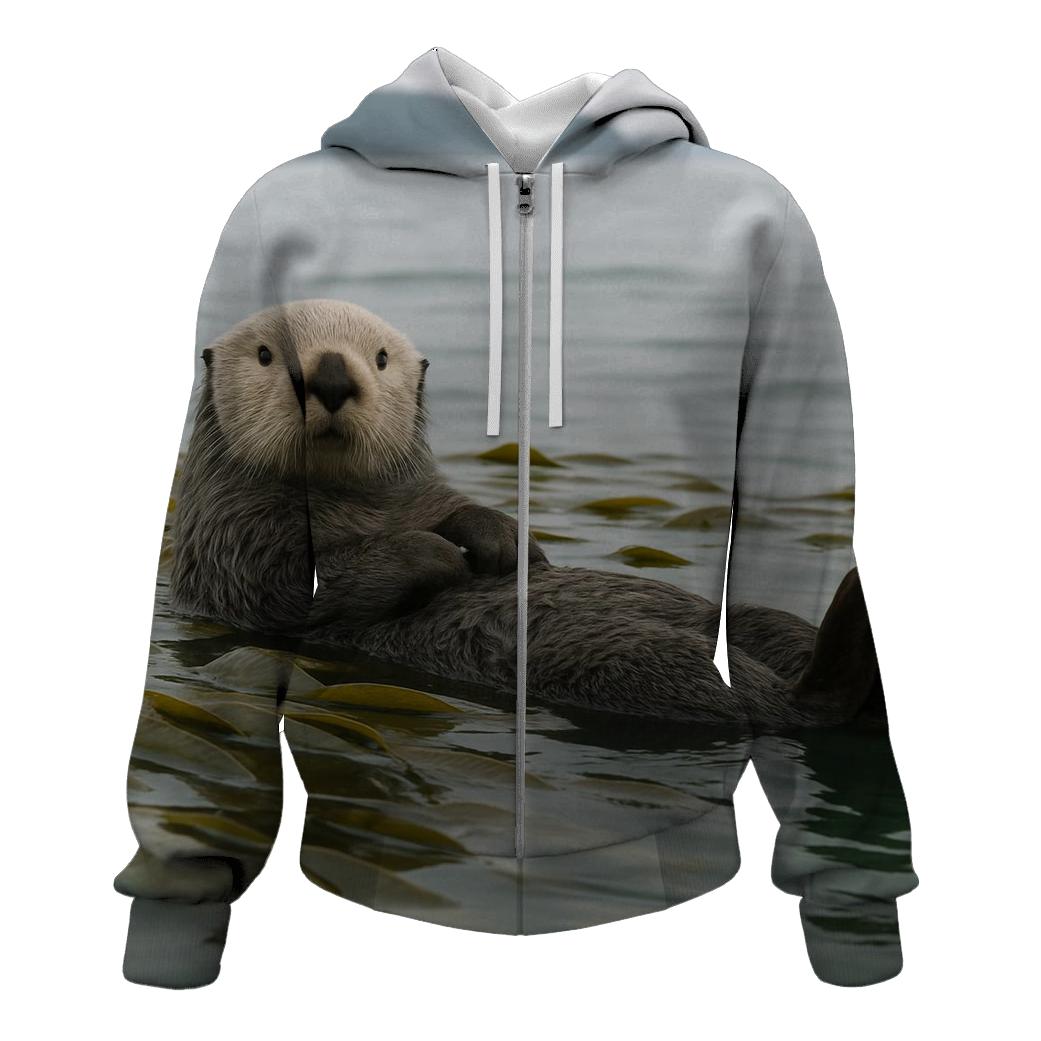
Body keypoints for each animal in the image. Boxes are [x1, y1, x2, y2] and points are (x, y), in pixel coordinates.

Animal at [172, 299, 880, 730]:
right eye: (267, 354)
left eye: (380, 358)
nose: (330, 378)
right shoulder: (237, 547)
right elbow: (297, 592)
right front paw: (439, 555)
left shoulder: (421, 495)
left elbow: (464, 514)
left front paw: (504, 545)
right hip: (636, 666)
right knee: (764, 700)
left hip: (748, 628)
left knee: (773, 632)